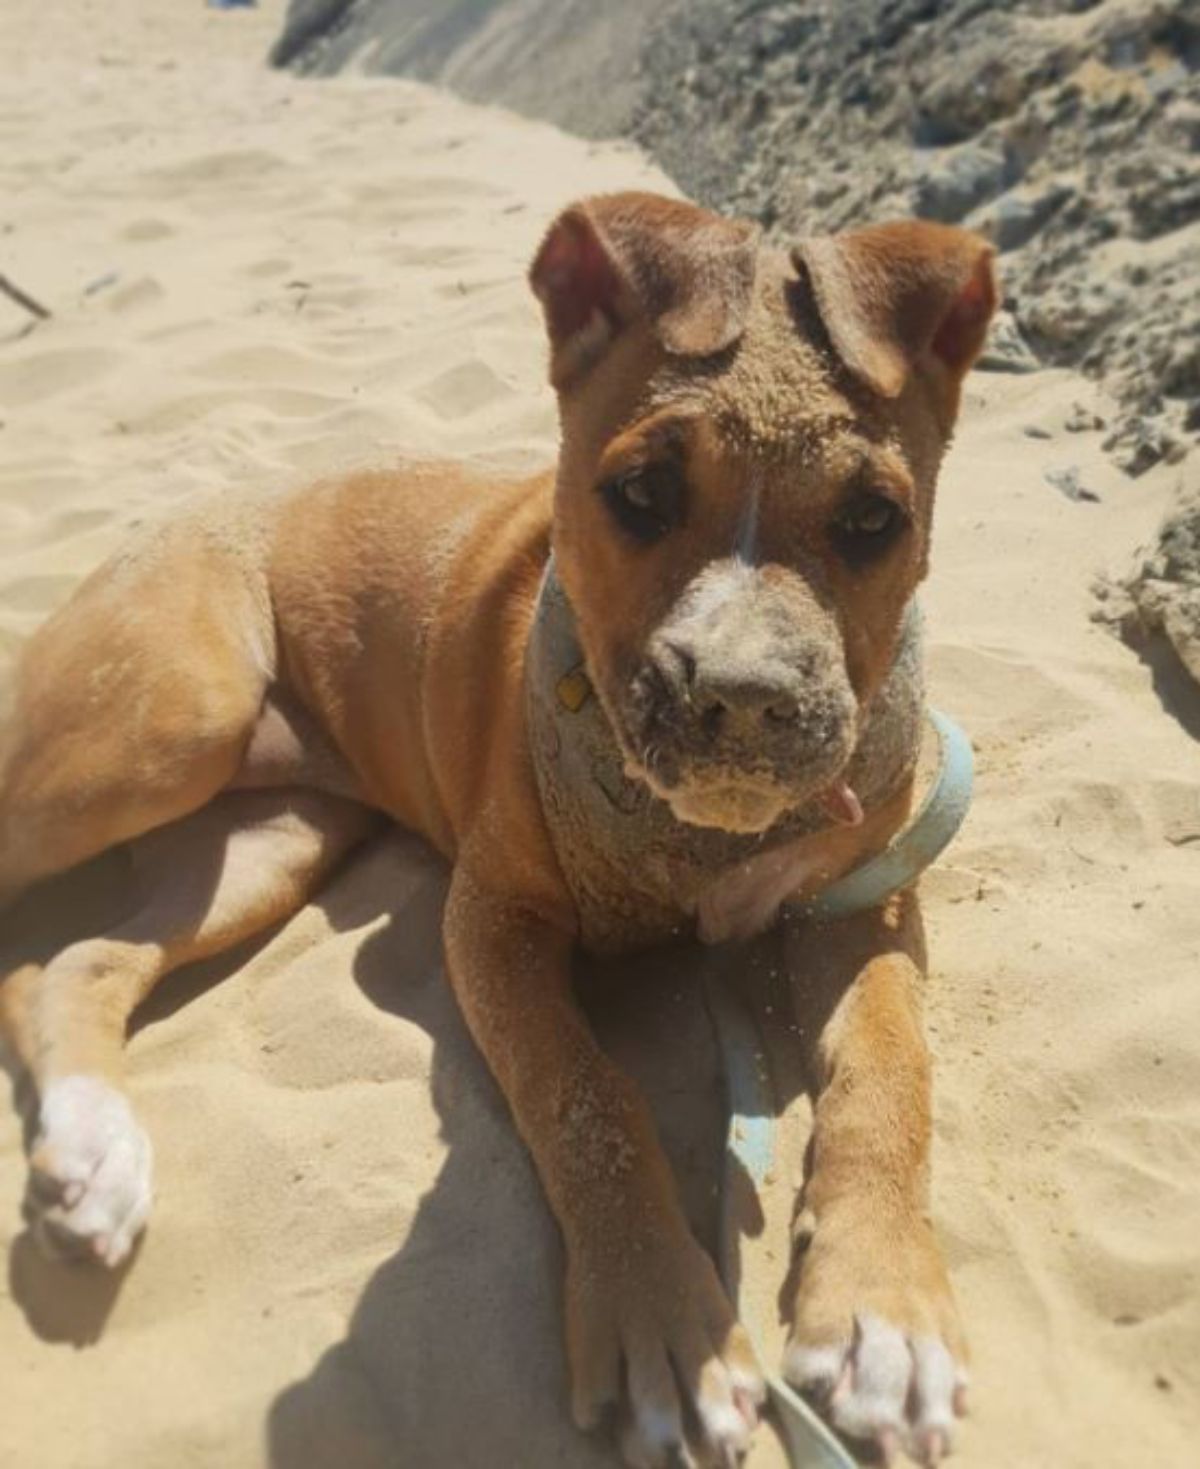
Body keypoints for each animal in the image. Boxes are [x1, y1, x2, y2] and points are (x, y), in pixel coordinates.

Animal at [0, 195, 992, 1469]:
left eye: (875, 519)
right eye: (639, 492)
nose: (743, 696)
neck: (695, 845)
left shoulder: (862, 908)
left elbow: (890, 1068)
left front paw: (884, 1309)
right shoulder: (493, 920)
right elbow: (587, 1096)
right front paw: (664, 1317)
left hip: (267, 839)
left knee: (76, 959)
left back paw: (94, 1154)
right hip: (164, 722)